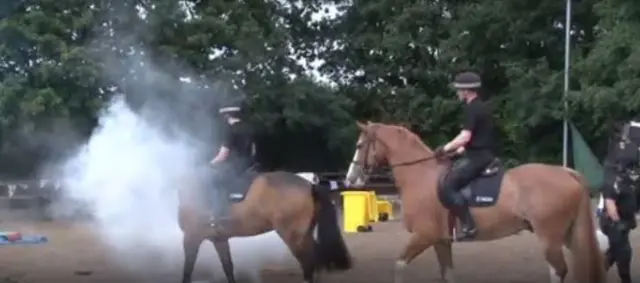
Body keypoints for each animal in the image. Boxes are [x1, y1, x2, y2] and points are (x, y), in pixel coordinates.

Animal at [178, 171, 352, 283]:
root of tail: (310, 185)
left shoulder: (191, 238)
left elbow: (187, 270)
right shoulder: (219, 240)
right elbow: (228, 268)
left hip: (293, 238)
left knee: (308, 264)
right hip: (304, 235)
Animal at [342, 122, 608, 283]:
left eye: (359, 145)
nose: (350, 179)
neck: (420, 176)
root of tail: (566, 172)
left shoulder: (424, 236)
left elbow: (398, 266)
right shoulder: (440, 241)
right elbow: (447, 274)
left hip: (549, 237)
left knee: (558, 270)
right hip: (567, 234)